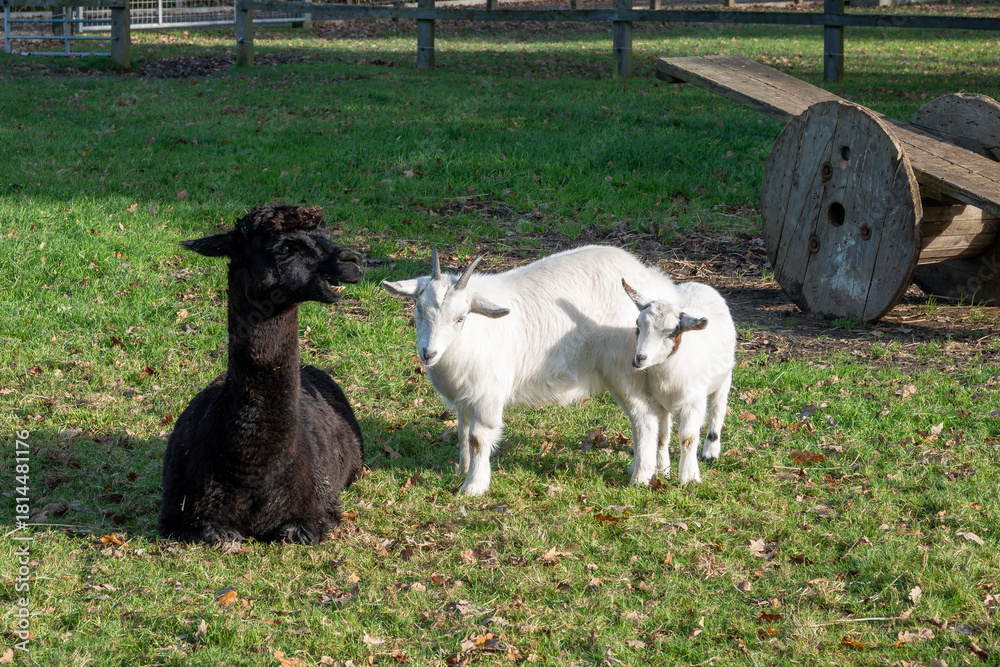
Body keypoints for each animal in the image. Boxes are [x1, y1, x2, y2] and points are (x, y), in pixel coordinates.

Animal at [159, 205, 365, 544]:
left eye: (327, 234)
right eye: (285, 248)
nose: (354, 261)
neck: (256, 472)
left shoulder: (318, 510)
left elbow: (296, 530)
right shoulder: (181, 513)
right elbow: (215, 533)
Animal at [382, 245, 682, 496]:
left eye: (460, 318)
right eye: (419, 309)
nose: (428, 354)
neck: (470, 335)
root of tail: (658, 284)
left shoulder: (487, 395)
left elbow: (477, 438)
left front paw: (473, 487)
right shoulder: (464, 398)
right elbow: (462, 432)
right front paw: (461, 472)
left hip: (626, 368)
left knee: (644, 417)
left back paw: (640, 476)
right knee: (651, 416)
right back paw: (650, 469)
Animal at [623, 279, 736, 484]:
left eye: (671, 333)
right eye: (637, 324)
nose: (639, 358)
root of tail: (698, 283)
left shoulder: (694, 401)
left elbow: (688, 439)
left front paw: (688, 477)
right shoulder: (658, 401)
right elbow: (661, 437)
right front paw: (662, 471)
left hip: (725, 378)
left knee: (717, 410)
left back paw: (711, 452)